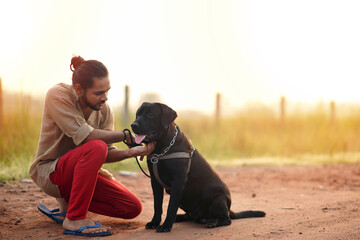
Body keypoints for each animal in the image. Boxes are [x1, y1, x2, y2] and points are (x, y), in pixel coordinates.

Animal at [131, 102, 264, 232]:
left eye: (151, 114)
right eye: (137, 114)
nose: (133, 125)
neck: (162, 148)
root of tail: (229, 208)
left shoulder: (178, 181)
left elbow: (171, 206)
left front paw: (166, 226)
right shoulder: (155, 181)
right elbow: (157, 205)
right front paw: (155, 222)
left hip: (217, 198)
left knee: (227, 220)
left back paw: (213, 222)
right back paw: (180, 217)